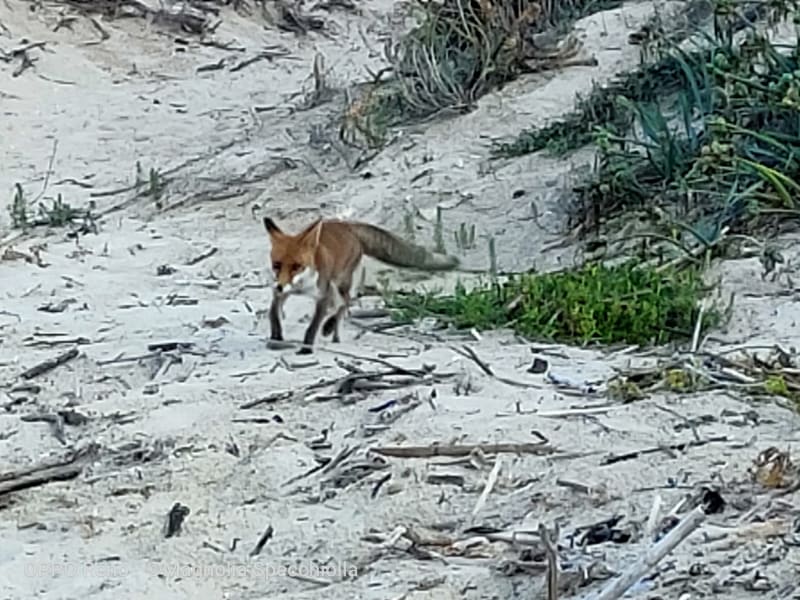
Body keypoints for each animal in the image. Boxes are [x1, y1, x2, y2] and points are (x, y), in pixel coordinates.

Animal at [263, 216, 460, 354]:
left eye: (297, 266)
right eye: (277, 265)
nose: (280, 286)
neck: (301, 287)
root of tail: (347, 226)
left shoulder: (322, 296)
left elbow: (312, 327)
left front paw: (306, 348)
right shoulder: (282, 292)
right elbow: (272, 314)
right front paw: (275, 337)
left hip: (341, 281)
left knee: (347, 301)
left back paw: (329, 327)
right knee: (341, 304)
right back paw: (333, 332)